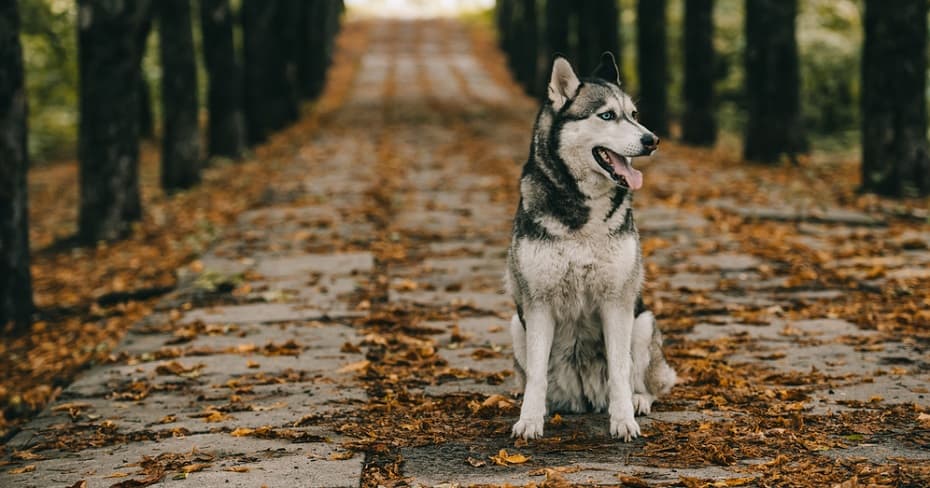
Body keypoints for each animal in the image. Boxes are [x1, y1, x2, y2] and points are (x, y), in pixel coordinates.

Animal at [508, 54, 676, 442]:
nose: (653, 139)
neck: (582, 216)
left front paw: (623, 420)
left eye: (633, 113)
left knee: (646, 381)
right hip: (516, 325)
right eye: (607, 115)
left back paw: (639, 400)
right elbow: (536, 375)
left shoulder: (617, 301)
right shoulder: (537, 303)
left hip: (643, 322)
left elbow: (619, 370)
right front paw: (530, 420)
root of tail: (583, 397)